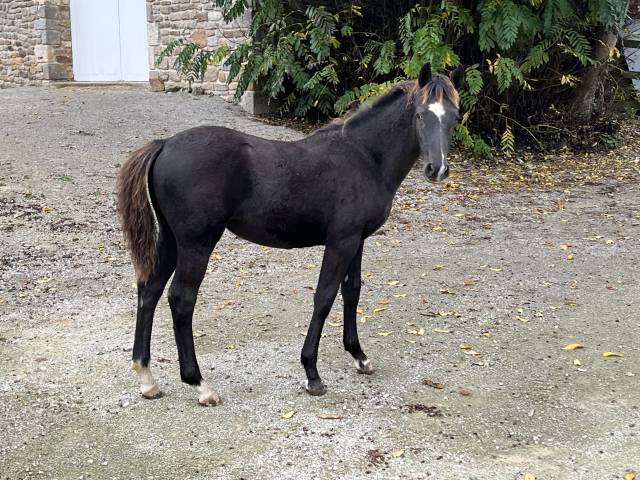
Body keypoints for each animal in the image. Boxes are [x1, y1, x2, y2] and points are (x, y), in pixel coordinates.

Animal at [117, 63, 463, 405]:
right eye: (420, 115)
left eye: (454, 117)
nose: (437, 169)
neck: (364, 157)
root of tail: (165, 144)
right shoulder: (341, 242)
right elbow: (324, 297)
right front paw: (312, 373)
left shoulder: (357, 240)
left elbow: (352, 291)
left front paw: (359, 356)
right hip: (196, 243)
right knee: (181, 299)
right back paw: (199, 384)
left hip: (171, 241)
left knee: (149, 291)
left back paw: (147, 378)